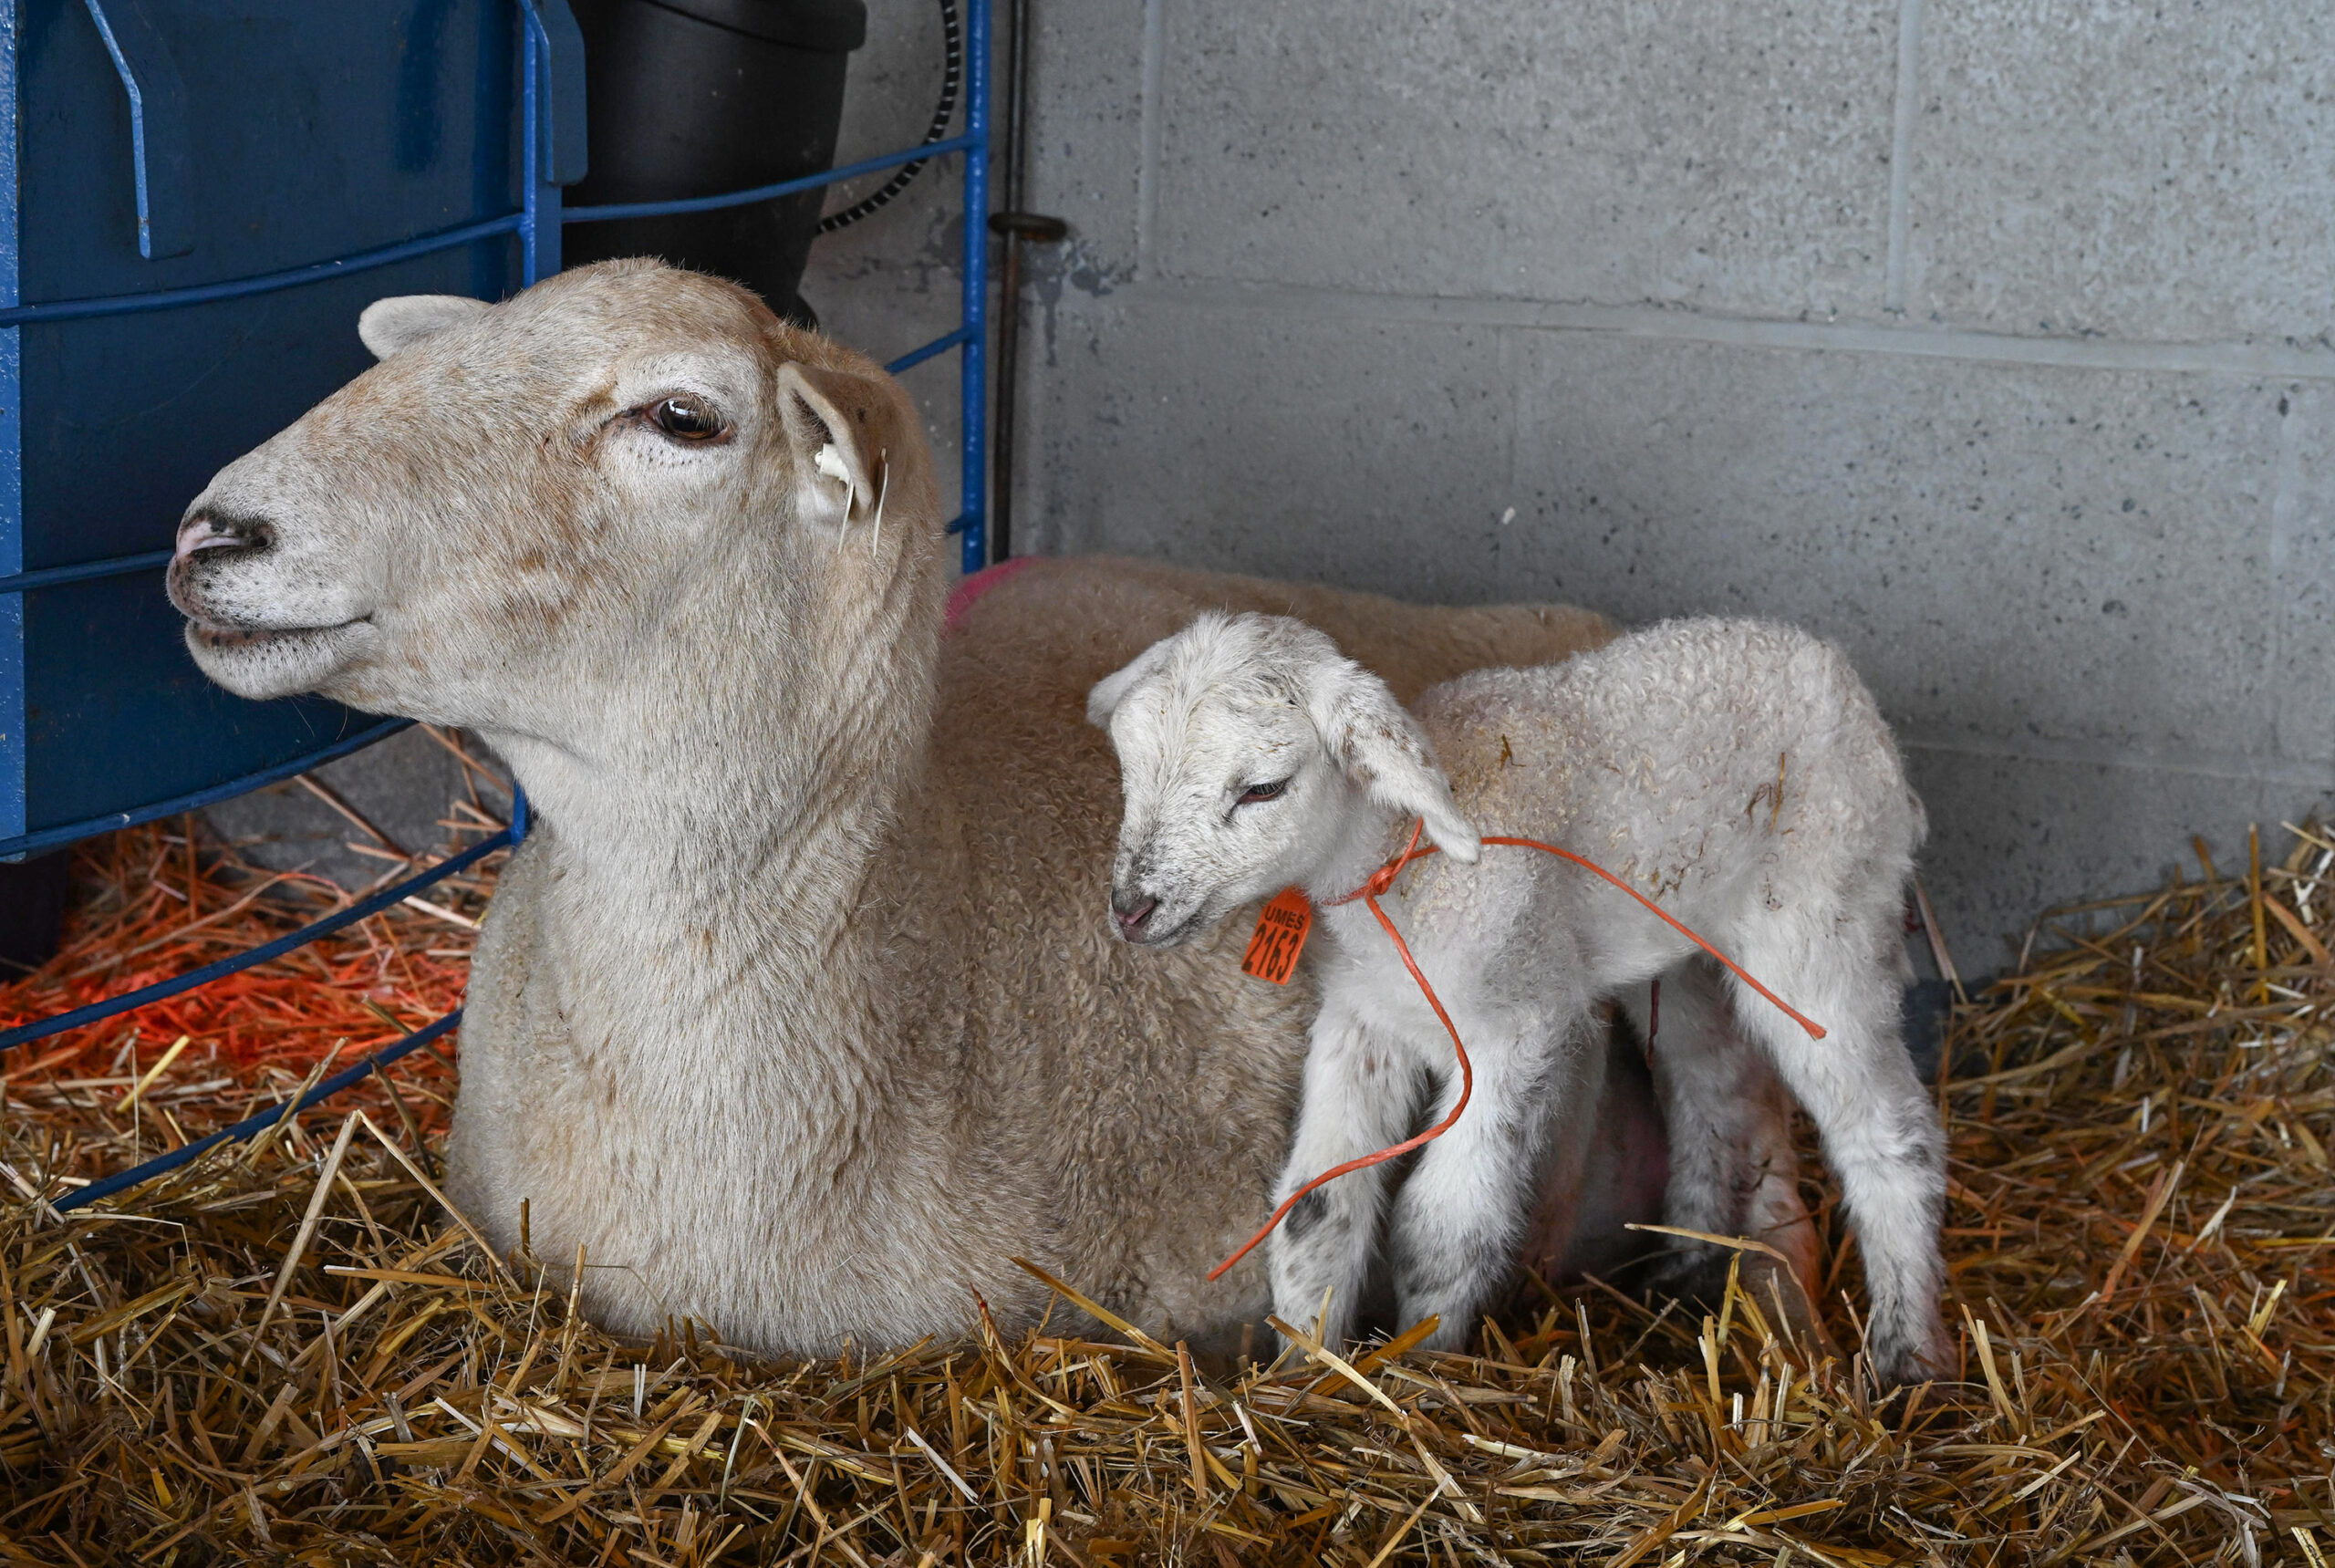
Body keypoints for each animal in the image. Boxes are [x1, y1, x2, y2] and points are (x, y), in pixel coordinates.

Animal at [1090, 611, 1950, 1384]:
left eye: (1264, 788)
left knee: (1888, 1129)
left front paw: (1423, 1362)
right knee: (1714, 1081)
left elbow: (1444, 1222)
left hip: (1827, 917)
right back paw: (1688, 1259)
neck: (1401, 867)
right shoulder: (1366, 1019)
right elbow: (1317, 1208)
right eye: (1128, 769)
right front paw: (1304, 1372)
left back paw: (1908, 1356)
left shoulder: (1514, 1029)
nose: (1131, 908)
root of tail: (1834, 667)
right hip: (1689, 951)